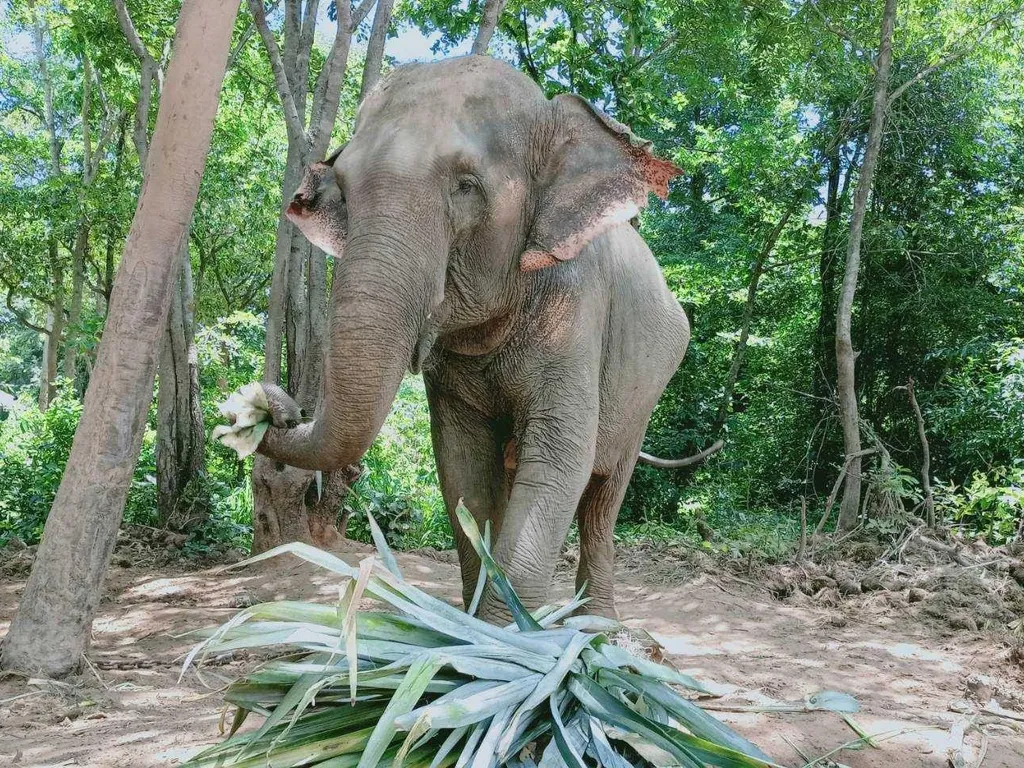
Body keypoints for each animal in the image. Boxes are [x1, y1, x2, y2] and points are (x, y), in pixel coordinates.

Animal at [258, 55, 692, 621]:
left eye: (466, 185)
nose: (271, 404)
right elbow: (463, 471)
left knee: (603, 495)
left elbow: (560, 460)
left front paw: (501, 634)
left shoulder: (578, 309)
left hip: (647, 390)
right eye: (344, 191)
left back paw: (597, 625)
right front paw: (467, 625)